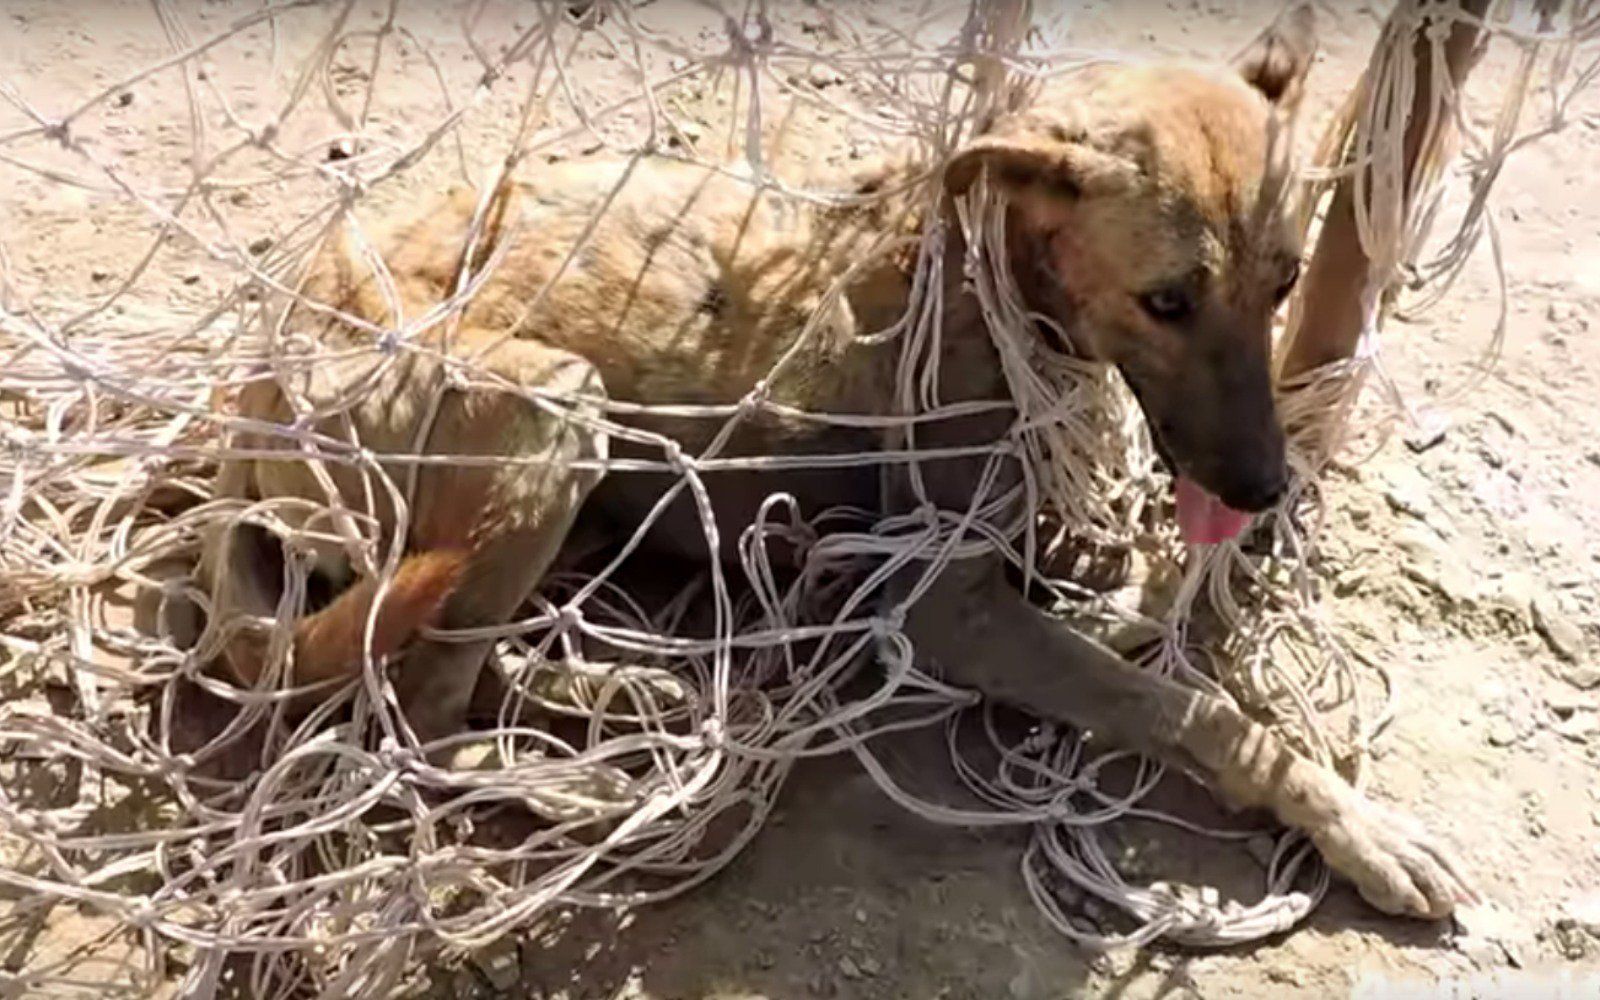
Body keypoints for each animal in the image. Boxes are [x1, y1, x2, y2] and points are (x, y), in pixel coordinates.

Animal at [200, 13, 1472, 921]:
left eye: (1284, 280)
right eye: (1167, 300)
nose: (1266, 490)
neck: (992, 274)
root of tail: (249, 391)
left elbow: (1130, 623)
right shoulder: (946, 609)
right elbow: (1191, 704)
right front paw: (1354, 819)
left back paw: (623, 692)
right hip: (556, 411)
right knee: (412, 714)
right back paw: (595, 774)